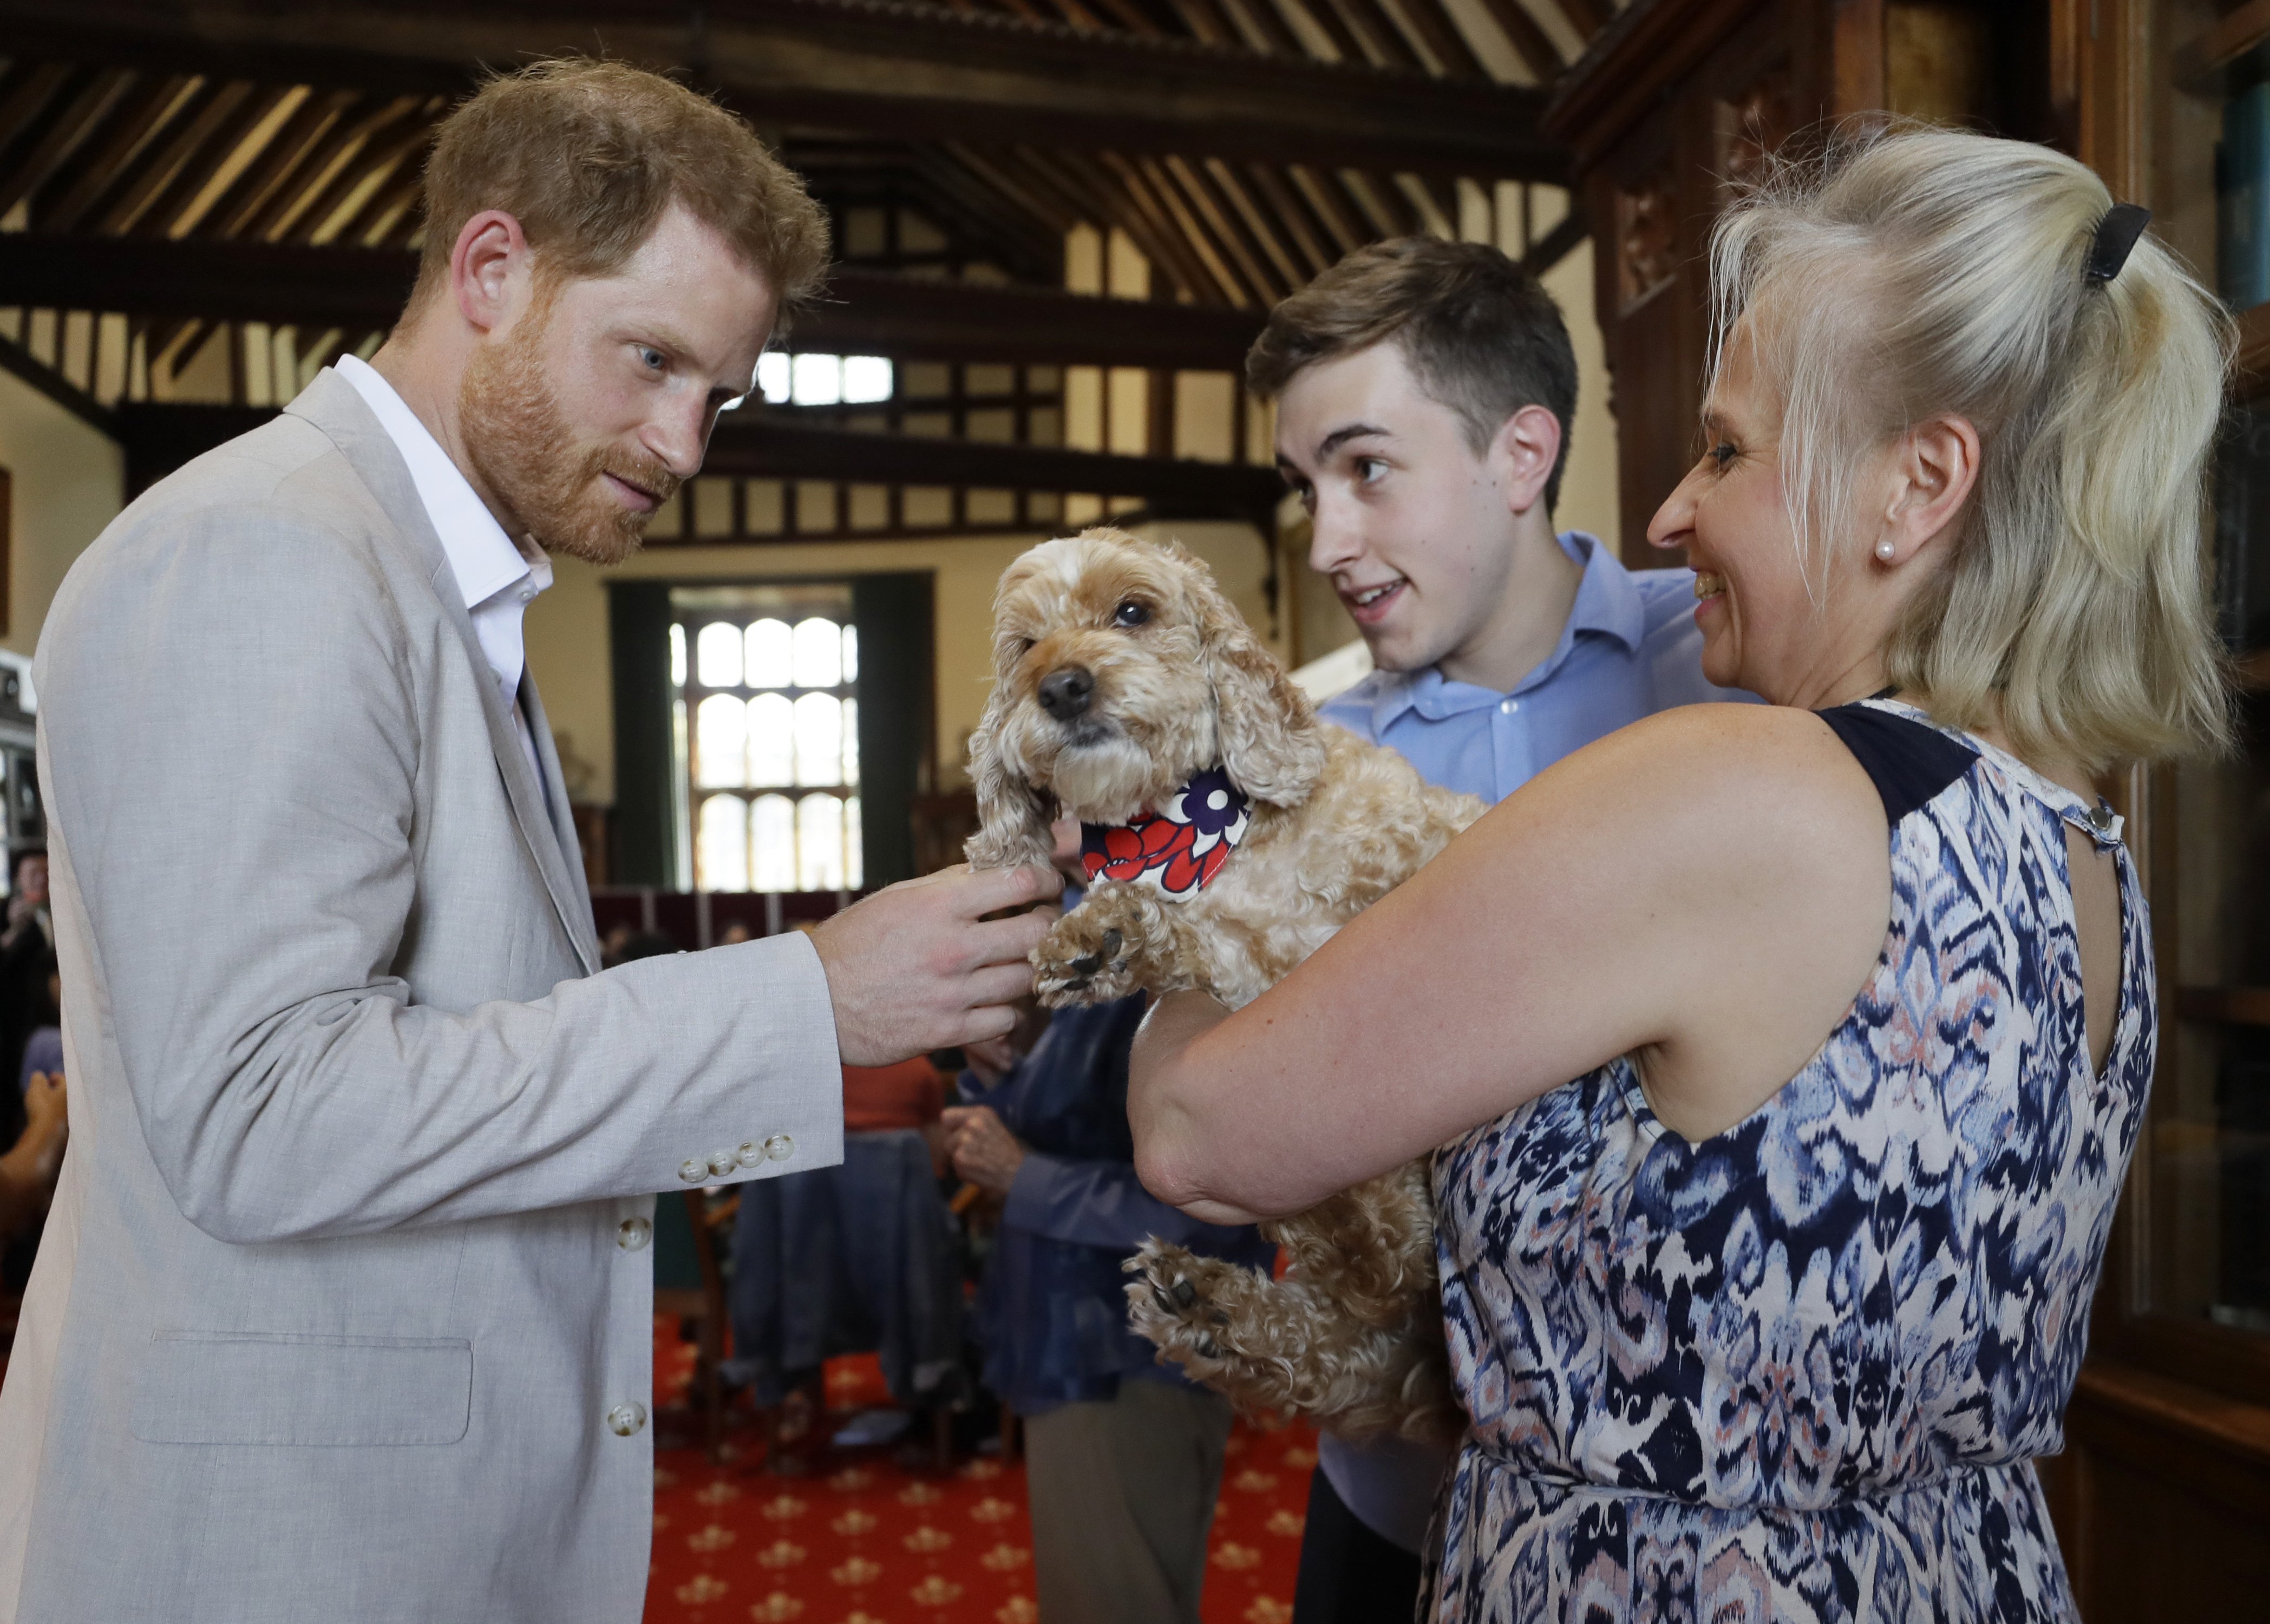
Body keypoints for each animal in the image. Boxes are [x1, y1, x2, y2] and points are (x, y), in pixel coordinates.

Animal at [967, 527, 1480, 1444]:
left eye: (1134, 610)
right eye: (1024, 647)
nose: (1061, 685)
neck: (1198, 832)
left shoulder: (1425, 842)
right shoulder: (1238, 974)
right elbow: (1204, 947)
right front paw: (1102, 937)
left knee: (1384, 1270)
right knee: (1355, 1309)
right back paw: (1209, 1306)